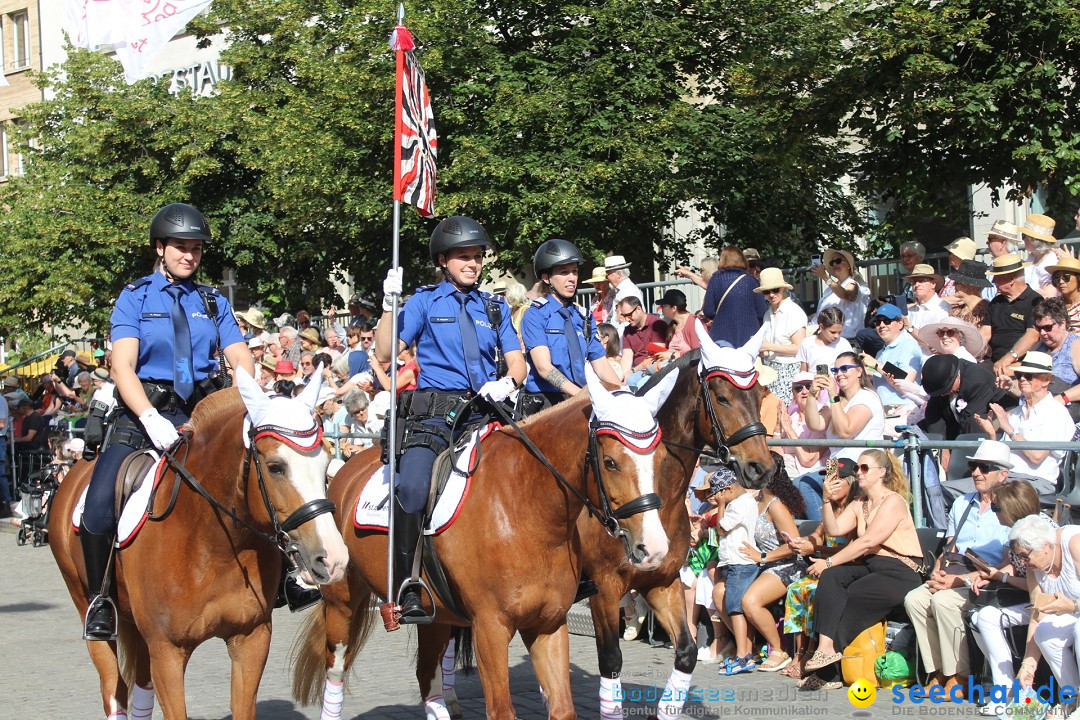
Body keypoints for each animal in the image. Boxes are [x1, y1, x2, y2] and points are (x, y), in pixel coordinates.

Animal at [49, 371, 345, 720]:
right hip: (87, 603)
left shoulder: (251, 639)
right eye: (275, 467)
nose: (334, 558)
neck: (214, 547)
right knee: (113, 688)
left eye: (326, 460)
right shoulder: (167, 651)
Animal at [291, 369, 678, 720]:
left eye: (660, 459)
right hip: (342, 601)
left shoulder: (548, 623)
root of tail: (345, 469)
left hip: (436, 616)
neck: (527, 507)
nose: (655, 548)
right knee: (335, 669)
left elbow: (562, 708)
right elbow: (501, 710)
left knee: (426, 676)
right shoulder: (490, 628)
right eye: (610, 462)